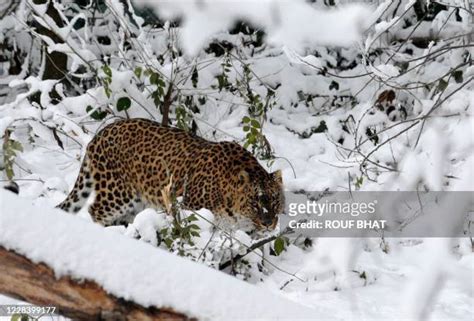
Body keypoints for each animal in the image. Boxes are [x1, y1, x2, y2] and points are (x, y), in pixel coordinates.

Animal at [57, 119, 284, 229]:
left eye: (274, 200)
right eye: (254, 203)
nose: (268, 223)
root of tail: (100, 134)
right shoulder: (191, 209)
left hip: (135, 201)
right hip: (117, 192)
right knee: (95, 210)